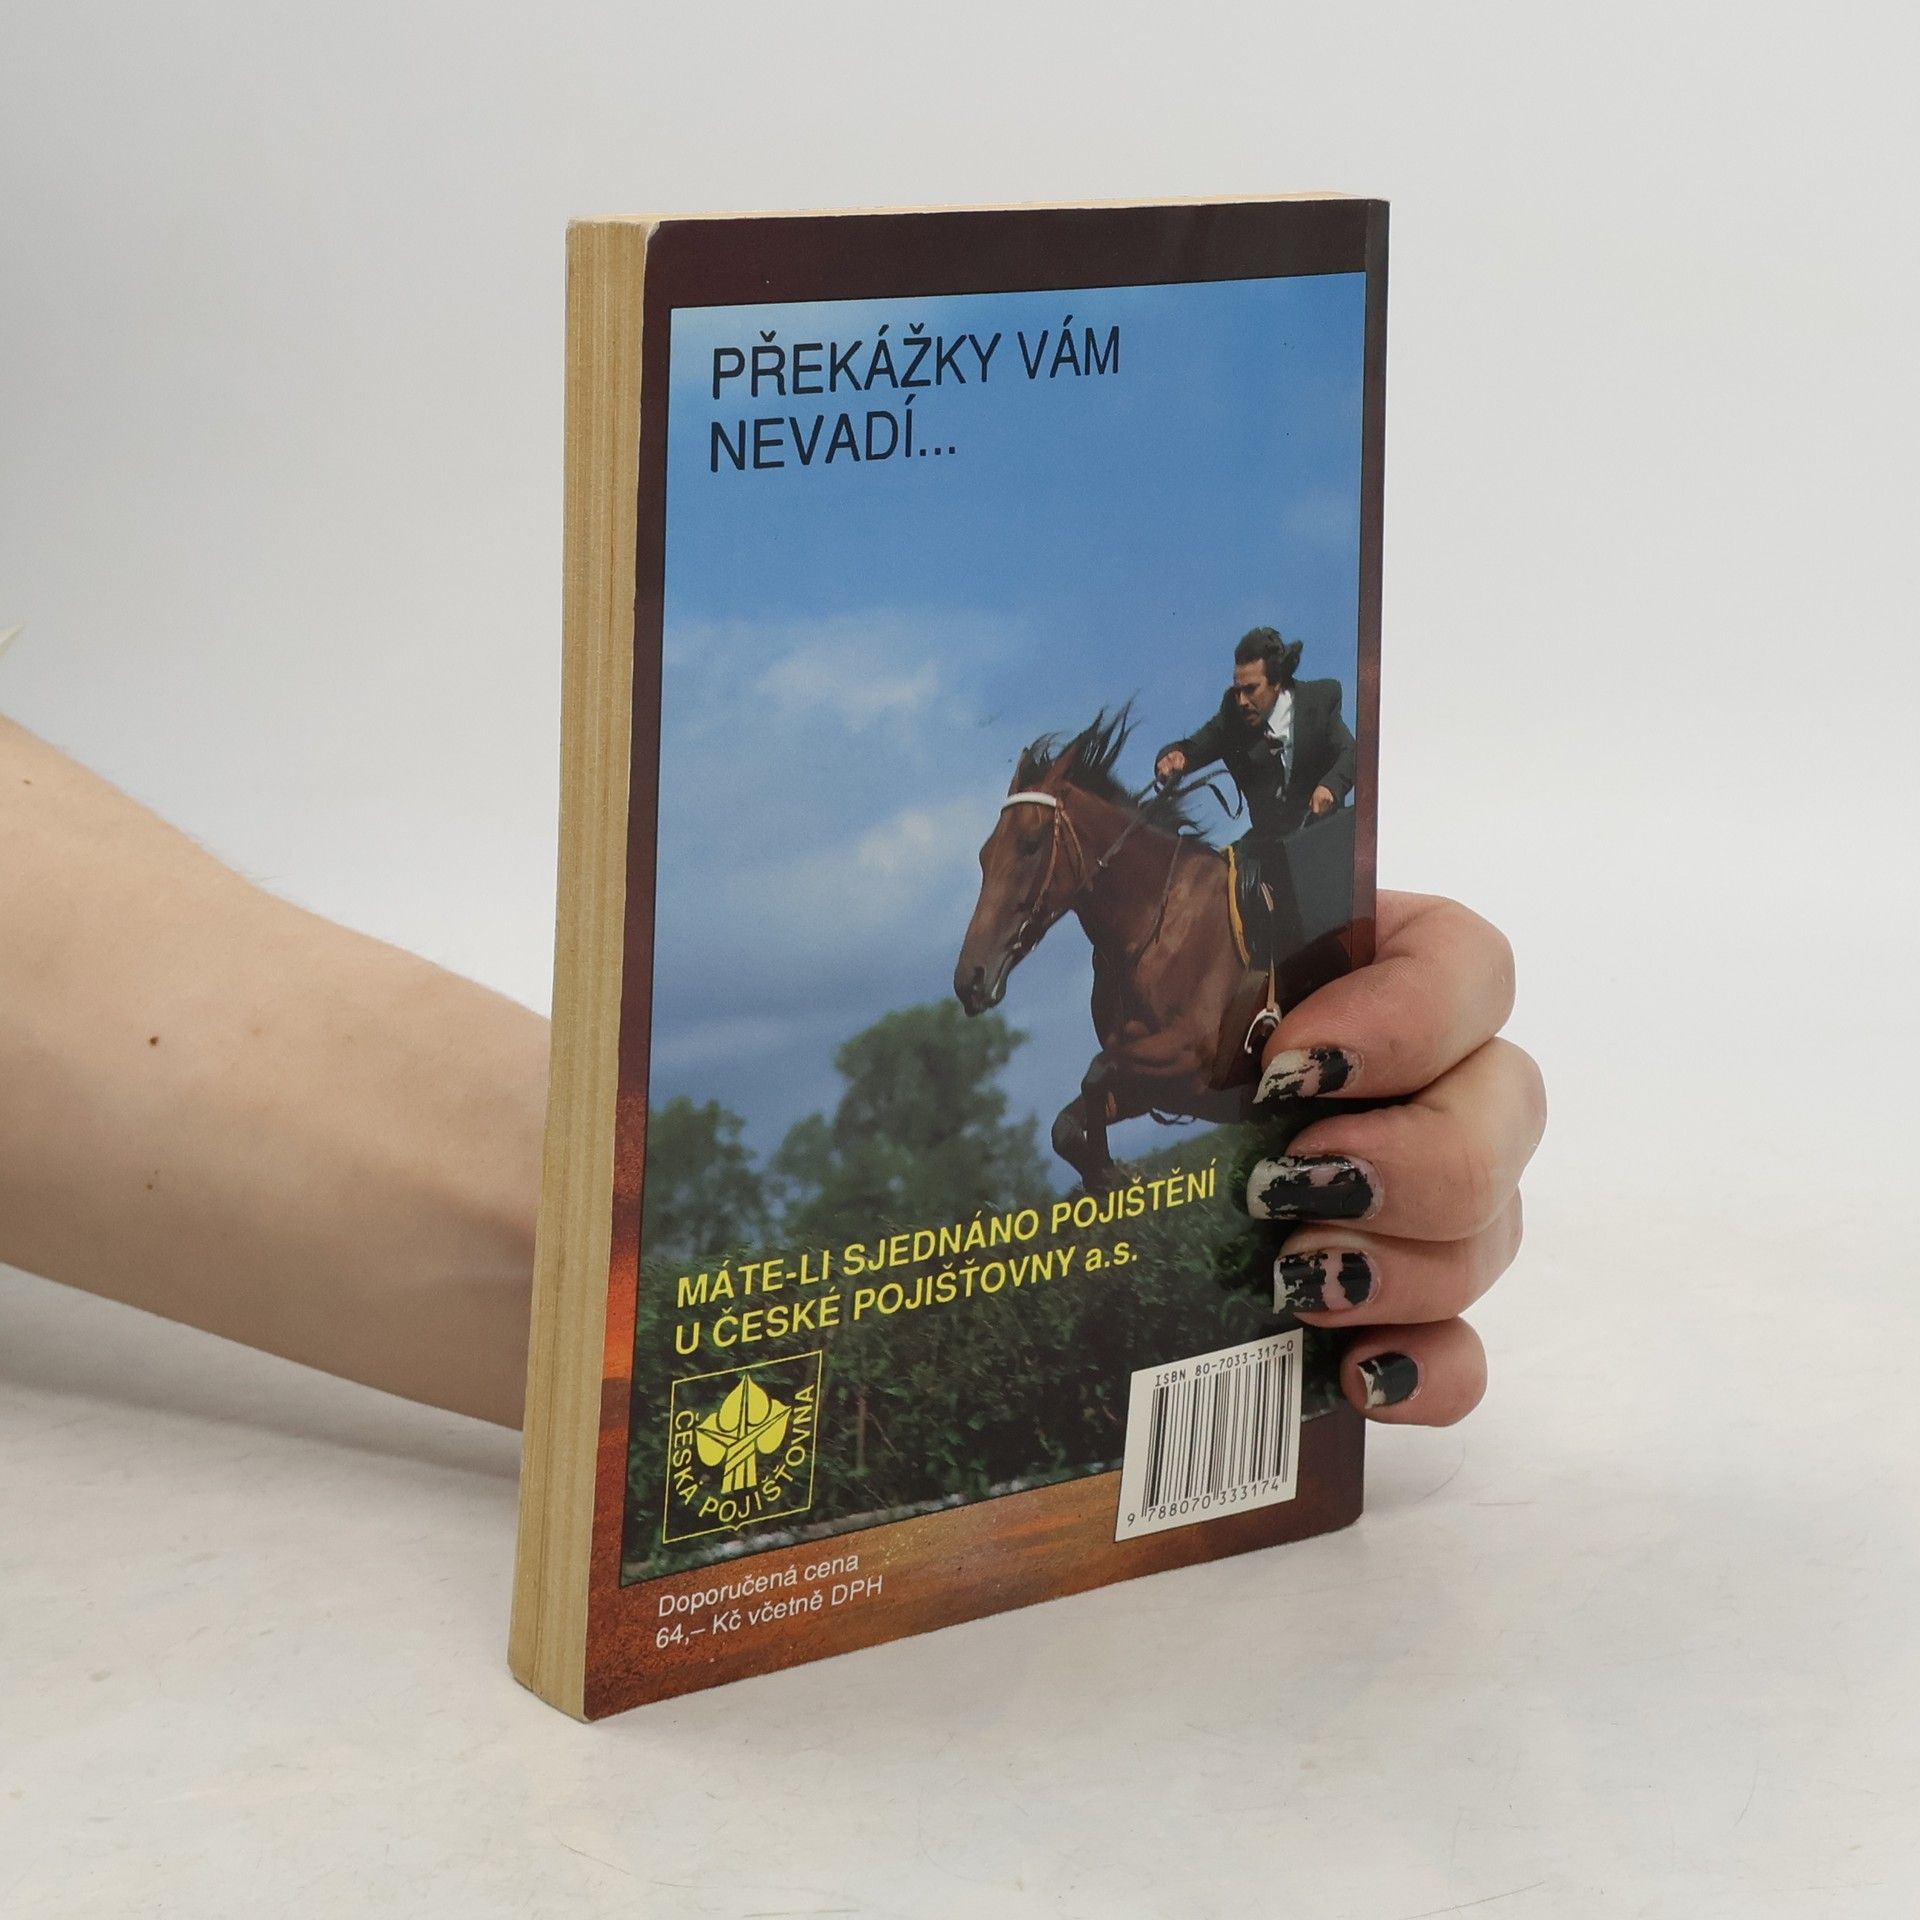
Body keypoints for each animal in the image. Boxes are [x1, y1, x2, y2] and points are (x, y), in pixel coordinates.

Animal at [953, 709, 1260, 1193]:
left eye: (1030, 844)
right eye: (985, 855)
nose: (970, 979)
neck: (1154, 927)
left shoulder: (1195, 1055)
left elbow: (1096, 1074)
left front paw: (1111, 1172)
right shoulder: (1156, 1085)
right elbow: (1068, 1122)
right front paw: (1111, 1178)